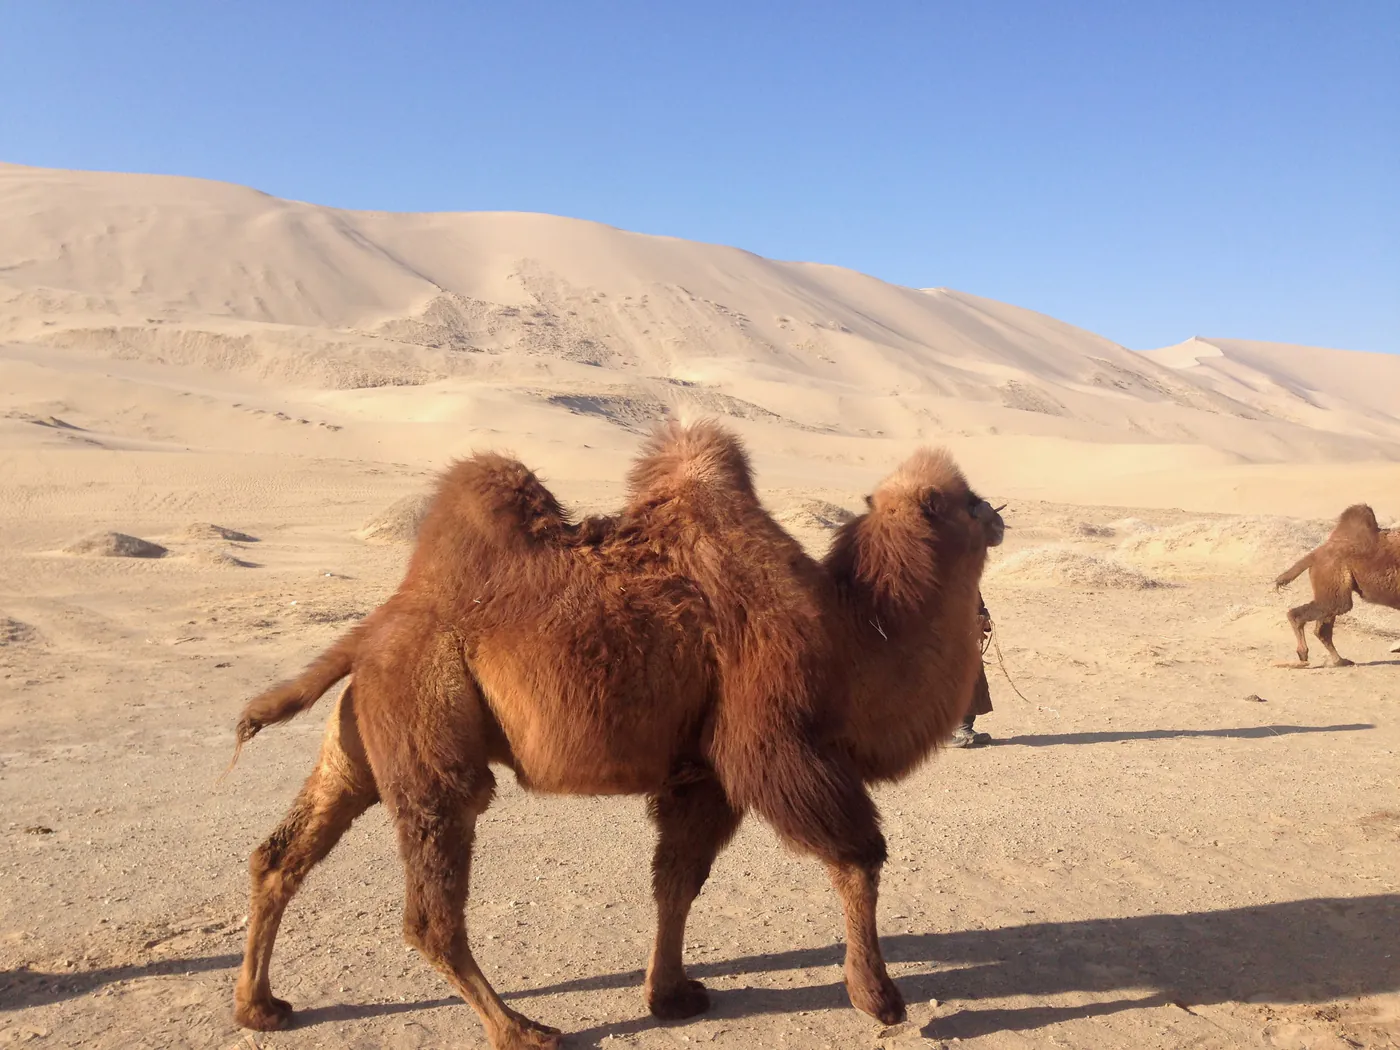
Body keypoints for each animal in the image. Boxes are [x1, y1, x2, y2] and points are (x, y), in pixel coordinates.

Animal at [228, 423, 1002, 1049]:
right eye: (967, 500)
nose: (999, 514)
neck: (852, 634)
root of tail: (370, 631)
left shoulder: (701, 774)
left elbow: (677, 881)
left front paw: (672, 995)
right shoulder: (773, 742)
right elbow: (857, 856)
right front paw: (879, 1000)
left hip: (362, 734)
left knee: (281, 854)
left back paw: (259, 1006)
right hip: (428, 724)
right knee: (432, 904)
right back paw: (521, 1029)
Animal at [1274, 503, 1400, 667]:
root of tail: (1316, 553)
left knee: (1322, 628)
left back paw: (1340, 660)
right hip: (1333, 577)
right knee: (1319, 612)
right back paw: (1304, 653)